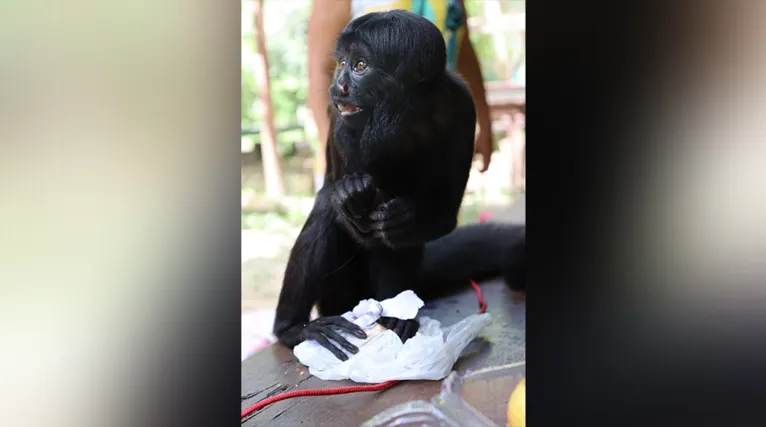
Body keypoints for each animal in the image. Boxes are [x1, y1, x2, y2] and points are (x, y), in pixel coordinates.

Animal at [272, 9, 524, 362]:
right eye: (341, 63)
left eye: (360, 65)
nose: (338, 86)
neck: (402, 113)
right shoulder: (339, 120)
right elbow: (349, 214)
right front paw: (349, 195)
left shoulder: (462, 105)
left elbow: (442, 216)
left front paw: (406, 218)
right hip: (339, 296)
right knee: (325, 210)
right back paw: (293, 328)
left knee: (398, 239)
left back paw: (396, 316)